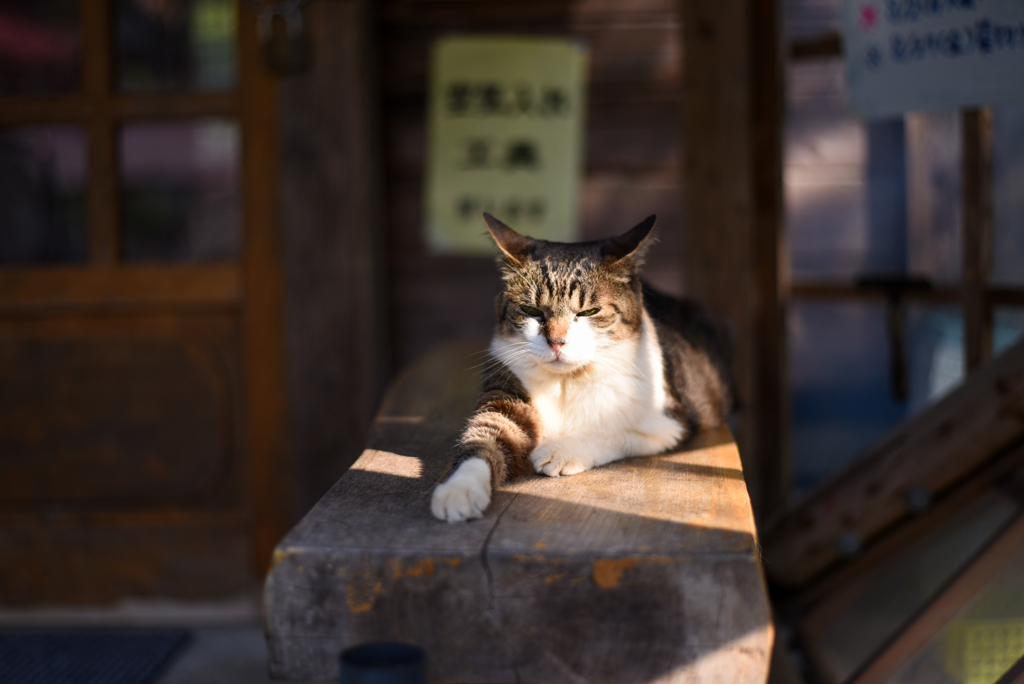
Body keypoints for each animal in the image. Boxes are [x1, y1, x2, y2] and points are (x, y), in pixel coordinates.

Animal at [432, 214, 737, 524]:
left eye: (588, 312)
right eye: (531, 311)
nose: (556, 342)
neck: (566, 381)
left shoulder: (672, 422)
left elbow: (619, 432)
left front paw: (562, 449)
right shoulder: (505, 391)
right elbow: (484, 437)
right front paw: (460, 487)